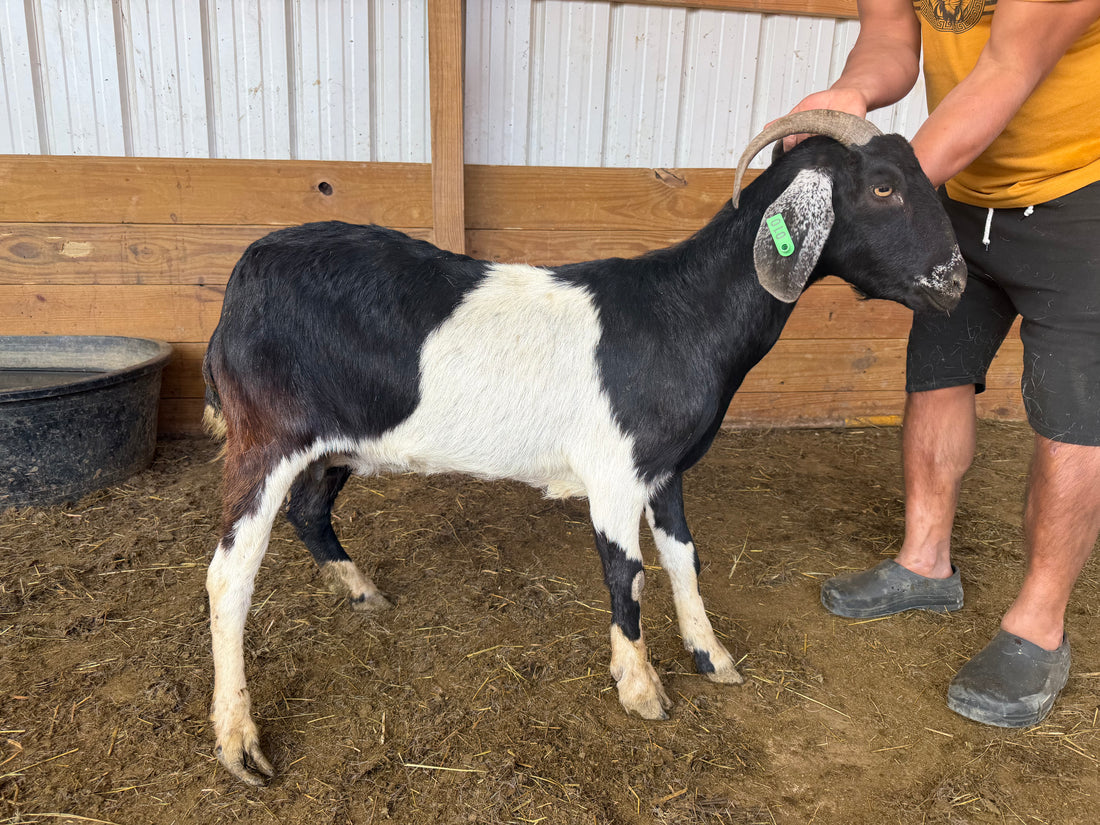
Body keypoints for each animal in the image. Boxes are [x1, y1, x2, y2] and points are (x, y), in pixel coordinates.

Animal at [202, 111, 966, 785]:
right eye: (884, 188)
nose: (954, 282)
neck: (680, 313)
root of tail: (243, 274)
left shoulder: (665, 468)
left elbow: (684, 558)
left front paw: (711, 655)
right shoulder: (615, 471)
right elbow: (626, 572)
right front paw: (641, 687)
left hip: (337, 442)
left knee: (309, 511)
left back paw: (360, 589)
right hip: (266, 438)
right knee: (229, 576)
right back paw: (239, 740)